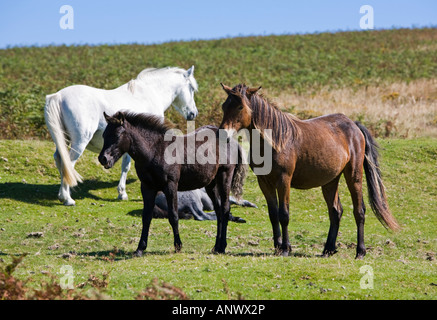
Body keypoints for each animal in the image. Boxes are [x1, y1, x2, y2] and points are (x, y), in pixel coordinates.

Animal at [44, 65, 198, 205]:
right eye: (191, 87)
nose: (193, 113)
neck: (149, 94)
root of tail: (58, 96)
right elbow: (126, 166)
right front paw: (122, 193)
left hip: (63, 141)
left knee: (60, 160)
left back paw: (63, 194)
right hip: (79, 143)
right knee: (68, 164)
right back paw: (67, 199)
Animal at [218, 82, 398, 258]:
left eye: (240, 106)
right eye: (224, 105)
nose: (223, 134)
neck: (276, 140)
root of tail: (354, 126)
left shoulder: (284, 180)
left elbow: (284, 214)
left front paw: (285, 249)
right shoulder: (264, 182)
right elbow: (273, 214)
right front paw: (277, 247)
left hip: (354, 176)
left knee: (359, 211)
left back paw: (360, 252)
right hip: (330, 182)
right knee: (336, 211)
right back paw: (328, 250)